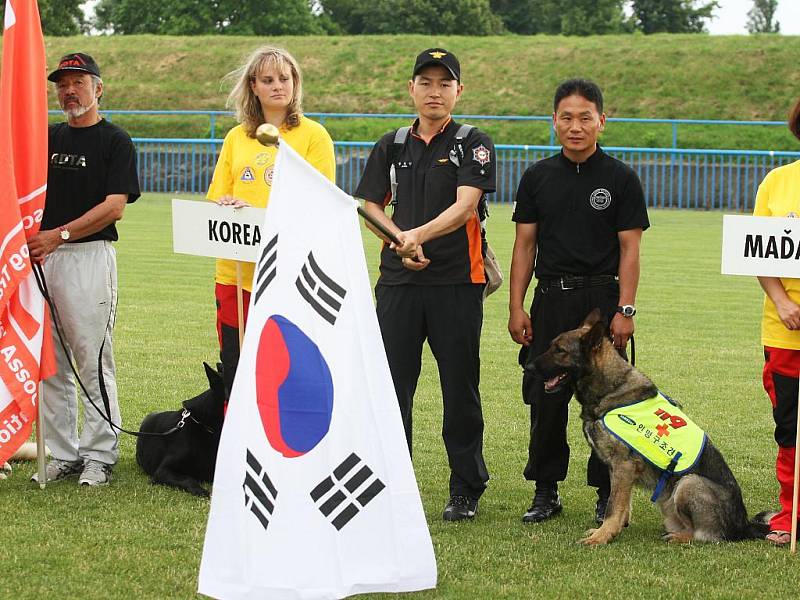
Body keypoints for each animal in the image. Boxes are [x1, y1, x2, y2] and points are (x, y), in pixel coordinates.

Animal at [532, 312, 768, 548]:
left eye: (560, 350)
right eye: (552, 346)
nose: (528, 366)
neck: (609, 388)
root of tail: (744, 525)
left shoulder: (623, 466)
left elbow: (612, 507)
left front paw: (602, 536)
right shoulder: (619, 471)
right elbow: (621, 505)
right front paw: (612, 530)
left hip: (688, 483)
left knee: (704, 535)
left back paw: (678, 537)